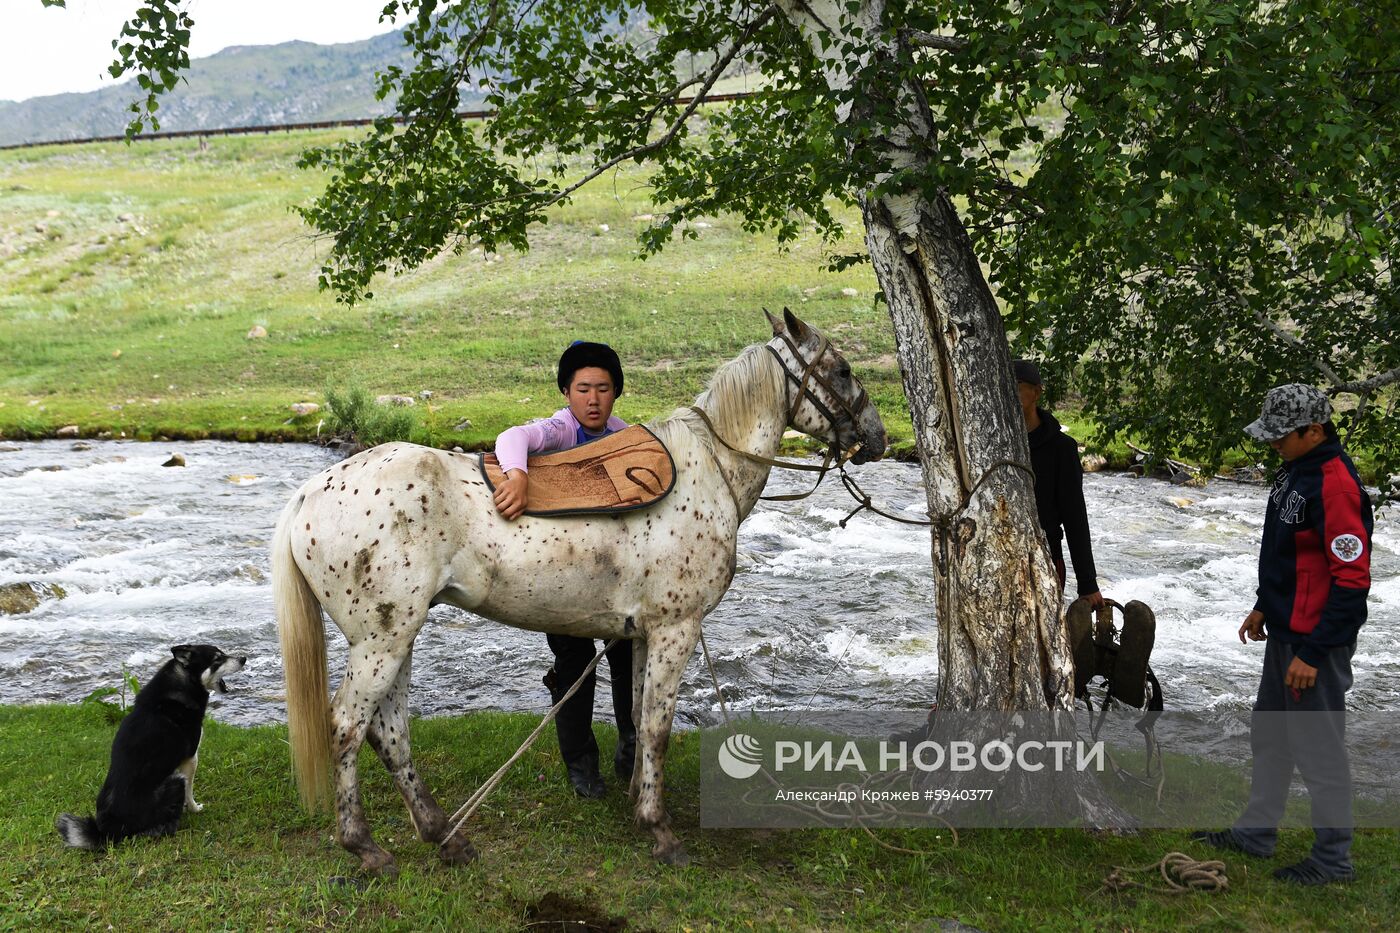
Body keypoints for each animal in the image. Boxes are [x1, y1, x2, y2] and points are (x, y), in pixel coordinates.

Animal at [56, 644, 246, 846]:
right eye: (218, 659)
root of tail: (108, 832)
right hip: (175, 781)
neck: (182, 684)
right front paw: (195, 809)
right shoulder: (190, 759)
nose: (244, 658)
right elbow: (190, 792)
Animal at [273, 306, 884, 874]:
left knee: (390, 732)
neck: (706, 474)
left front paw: (639, 803)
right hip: (382, 641)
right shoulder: (677, 630)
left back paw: (445, 836)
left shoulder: (643, 635)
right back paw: (365, 846)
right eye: (843, 369)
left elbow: (636, 713)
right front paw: (660, 831)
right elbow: (658, 727)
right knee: (348, 728)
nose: (876, 437)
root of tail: (311, 493)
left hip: (396, 638)